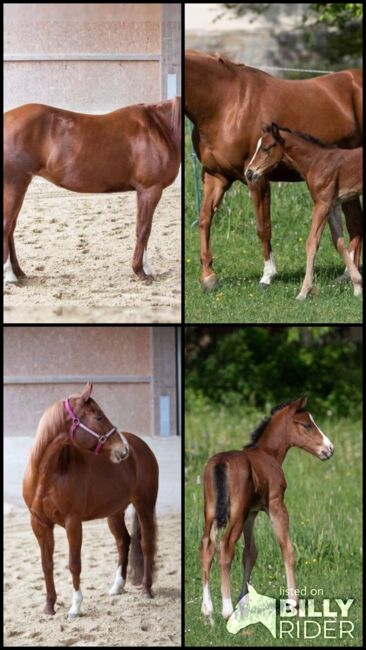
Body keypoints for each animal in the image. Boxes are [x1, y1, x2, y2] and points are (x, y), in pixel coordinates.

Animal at [2, 95, 180, 280]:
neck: (160, 127)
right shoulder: (149, 189)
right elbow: (144, 229)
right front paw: (140, 270)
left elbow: (145, 229)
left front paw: (146, 269)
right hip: (15, 184)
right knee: (6, 226)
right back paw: (10, 275)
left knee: (11, 229)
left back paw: (19, 272)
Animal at [22, 382, 159, 616]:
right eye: (99, 417)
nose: (123, 449)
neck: (47, 475)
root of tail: (142, 447)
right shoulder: (39, 524)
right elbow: (47, 564)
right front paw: (49, 606)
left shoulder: (73, 522)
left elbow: (74, 563)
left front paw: (75, 607)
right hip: (115, 512)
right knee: (123, 541)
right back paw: (117, 587)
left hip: (145, 505)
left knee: (146, 543)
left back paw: (147, 590)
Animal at [200, 392, 334, 620]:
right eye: (307, 425)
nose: (329, 449)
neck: (268, 454)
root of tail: (221, 463)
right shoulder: (276, 505)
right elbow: (287, 548)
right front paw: (294, 605)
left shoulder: (251, 513)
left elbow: (250, 553)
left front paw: (244, 602)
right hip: (235, 514)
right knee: (225, 547)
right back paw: (226, 611)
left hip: (212, 513)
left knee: (207, 546)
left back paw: (208, 612)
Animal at [246, 123, 364, 298]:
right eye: (257, 147)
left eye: (266, 148)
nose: (249, 172)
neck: (316, 162)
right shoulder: (332, 206)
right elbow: (338, 242)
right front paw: (357, 286)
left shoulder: (322, 205)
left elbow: (311, 243)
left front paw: (303, 291)